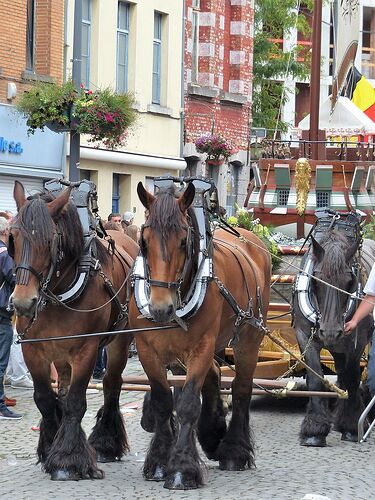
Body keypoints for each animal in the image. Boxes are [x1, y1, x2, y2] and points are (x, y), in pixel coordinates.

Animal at [11, 181, 139, 480]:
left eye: (49, 241)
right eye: (13, 237)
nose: (22, 303)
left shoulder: (86, 350)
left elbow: (76, 402)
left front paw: (67, 459)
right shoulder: (34, 350)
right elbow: (45, 399)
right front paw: (49, 447)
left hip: (119, 341)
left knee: (112, 384)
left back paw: (105, 443)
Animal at [296, 230, 374, 446]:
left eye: (349, 282)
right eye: (316, 279)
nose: (331, 332)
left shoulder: (356, 343)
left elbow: (353, 378)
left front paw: (352, 427)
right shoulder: (305, 336)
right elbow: (315, 379)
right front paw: (314, 430)